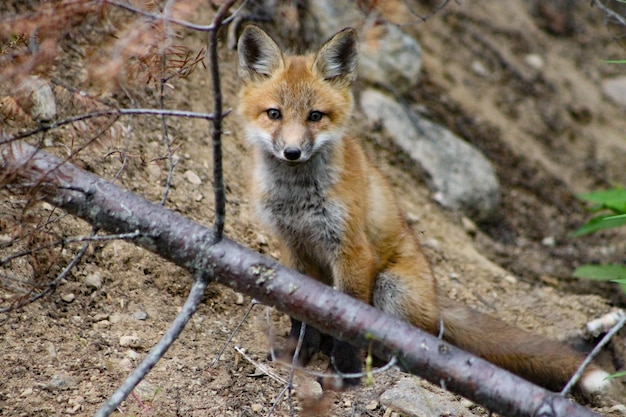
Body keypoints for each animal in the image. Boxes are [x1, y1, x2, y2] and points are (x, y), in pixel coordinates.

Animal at [234, 24, 604, 394]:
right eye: (274, 114)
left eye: (315, 116)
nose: (292, 152)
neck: (298, 199)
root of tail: (436, 299)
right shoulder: (291, 246)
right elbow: (299, 315)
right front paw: (297, 351)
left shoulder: (351, 251)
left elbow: (349, 321)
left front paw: (346, 371)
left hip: (391, 287)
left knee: (408, 340)